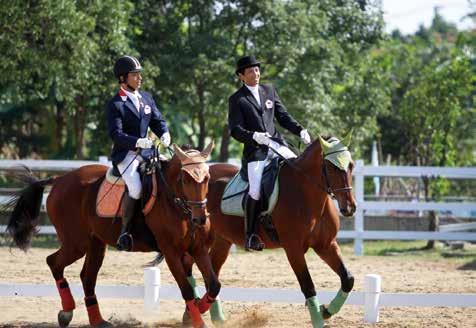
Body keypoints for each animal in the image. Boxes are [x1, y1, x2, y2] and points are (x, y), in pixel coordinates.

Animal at [6, 142, 218, 328]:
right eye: (186, 179)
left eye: (207, 178)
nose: (200, 219)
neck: (177, 204)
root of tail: (59, 180)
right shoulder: (170, 252)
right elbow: (186, 289)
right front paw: (196, 319)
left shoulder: (198, 249)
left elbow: (214, 285)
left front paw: (195, 310)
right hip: (76, 244)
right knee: (54, 262)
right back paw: (67, 312)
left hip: (95, 243)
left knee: (87, 277)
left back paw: (97, 320)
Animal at [182, 134, 356, 328]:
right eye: (331, 167)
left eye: (351, 165)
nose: (349, 208)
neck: (306, 193)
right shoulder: (293, 250)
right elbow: (308, 286)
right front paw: (318, 320)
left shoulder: (326, 245)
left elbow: (348, 279)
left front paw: (326, 311)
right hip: (198, 242)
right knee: (189, 266)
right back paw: (192, 313)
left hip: (222, 241)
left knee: (212, 273)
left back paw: (214, 316)